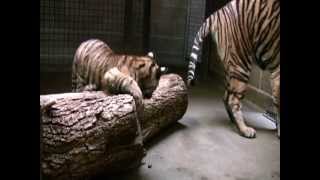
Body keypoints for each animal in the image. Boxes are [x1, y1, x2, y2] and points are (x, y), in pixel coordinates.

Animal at [186, 0, 278, 139]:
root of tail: (218, 12)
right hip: (241, 63)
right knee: (232, 99)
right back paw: (244, 129)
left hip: (232, 68)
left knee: (226, 96)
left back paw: (234, 122)